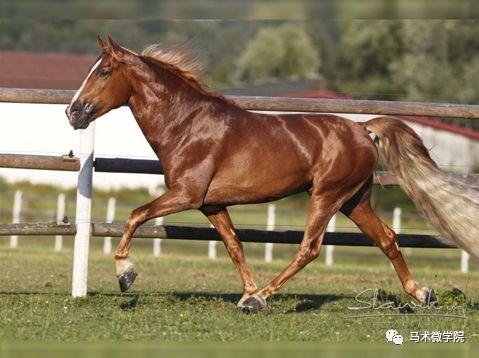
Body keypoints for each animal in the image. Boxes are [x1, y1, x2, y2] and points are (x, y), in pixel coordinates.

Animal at [64, 35, 479, 310]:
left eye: (103, 71)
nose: (73, 112)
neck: (187, 125)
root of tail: (364, 129)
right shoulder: (211, 205)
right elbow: (234, 246)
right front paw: (247, 290)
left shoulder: (186, 194)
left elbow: (135, 216)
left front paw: (126, 274)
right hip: (354, 201)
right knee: (388, 239)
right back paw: (422, 293)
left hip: (327, 195)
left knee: (309, 248)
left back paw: (261, 299)